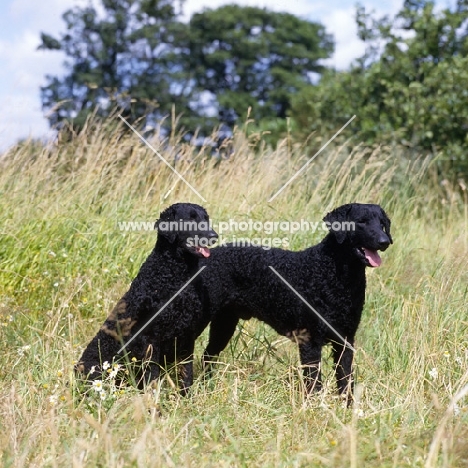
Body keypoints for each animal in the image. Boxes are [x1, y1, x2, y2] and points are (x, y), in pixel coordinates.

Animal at [76, 204, 218, 392]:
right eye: (190, 219)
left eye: (206, 219)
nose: (214, 236)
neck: (177, 277)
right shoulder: (151, 339)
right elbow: (153, 375)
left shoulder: (187, 335)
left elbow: (186, 373)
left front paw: (186, 396)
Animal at [200, 204, 392, 402]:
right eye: (361, 221)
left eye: (382, 223)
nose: (385, 241)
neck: (336, 275)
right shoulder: (310, 340)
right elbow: (314, 383)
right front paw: (315, 407)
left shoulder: (345, 339)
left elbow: (346, 380)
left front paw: (346, 407)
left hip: (225, 323)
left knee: (208, 355)